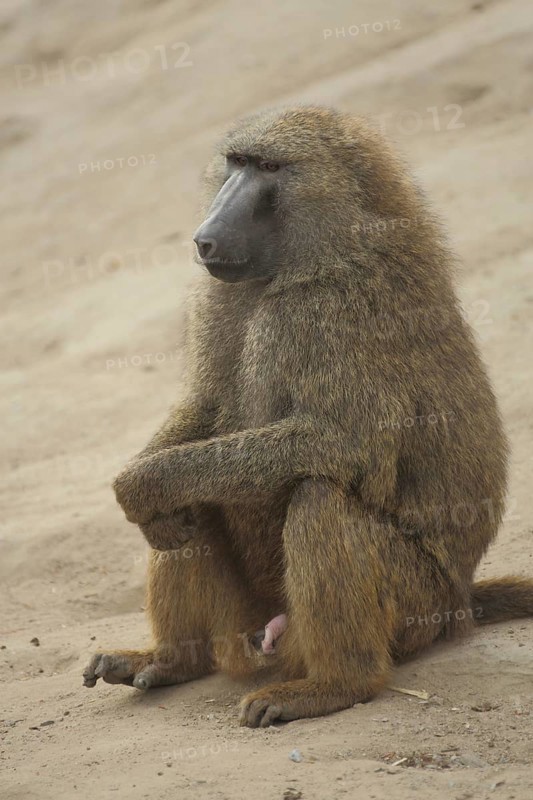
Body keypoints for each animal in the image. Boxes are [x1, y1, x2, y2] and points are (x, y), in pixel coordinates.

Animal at [83, 105, 533, 727]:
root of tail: (459, 604)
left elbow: (343, 443)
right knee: (195, 510)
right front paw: (145, 491)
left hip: (414, 606)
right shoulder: (218, 300)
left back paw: (335, 684)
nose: (204, 238)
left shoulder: (332, 311)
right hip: (248, 618)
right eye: (237, 161)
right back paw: (171, 660)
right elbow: (205, 404)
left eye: (270, 168)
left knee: (321, 498)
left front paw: (144, 484)